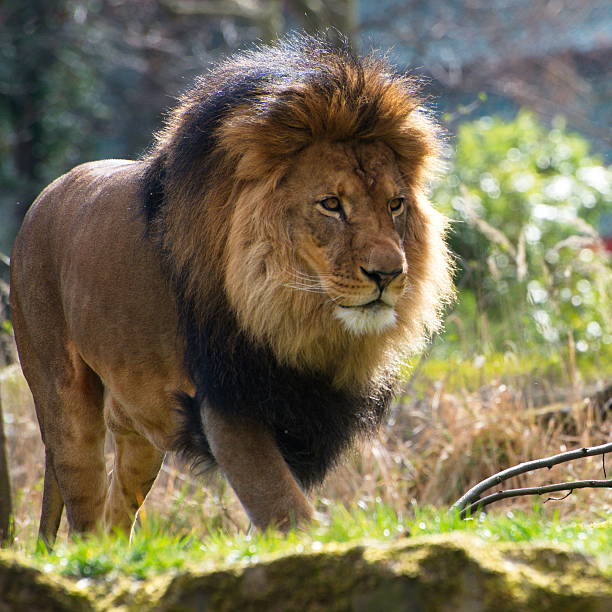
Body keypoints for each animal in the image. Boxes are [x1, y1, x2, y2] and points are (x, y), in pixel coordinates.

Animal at [9, 35, 454, 548]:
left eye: (395, 204)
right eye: (331, 205)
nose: (389, 274)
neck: (295, 315)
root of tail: (45, 196)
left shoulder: (302, 411)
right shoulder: (226, 399)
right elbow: (280, 503)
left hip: (139, 425)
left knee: (117, 510)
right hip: (63, 402)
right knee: (84, 514)